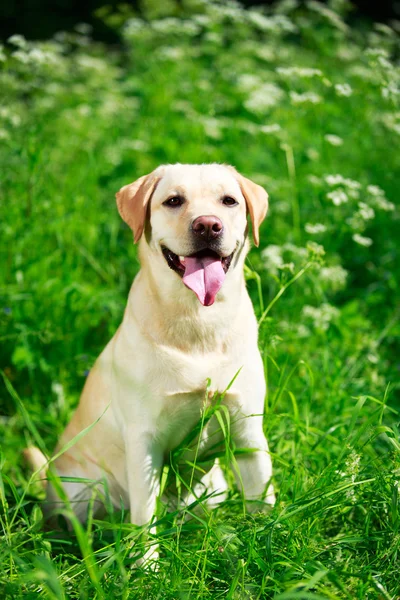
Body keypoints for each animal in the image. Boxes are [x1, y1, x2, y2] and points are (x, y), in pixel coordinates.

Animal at [25, 163, 276, 564]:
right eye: (173, 201)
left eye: (229, 201)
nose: (208, 225)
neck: (197, 322)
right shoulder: (145, 440)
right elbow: (145, 517)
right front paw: (147, 567)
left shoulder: (248, 432)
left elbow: (262, 498)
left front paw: (268, 543)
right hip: (83, 490)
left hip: (214, 486)